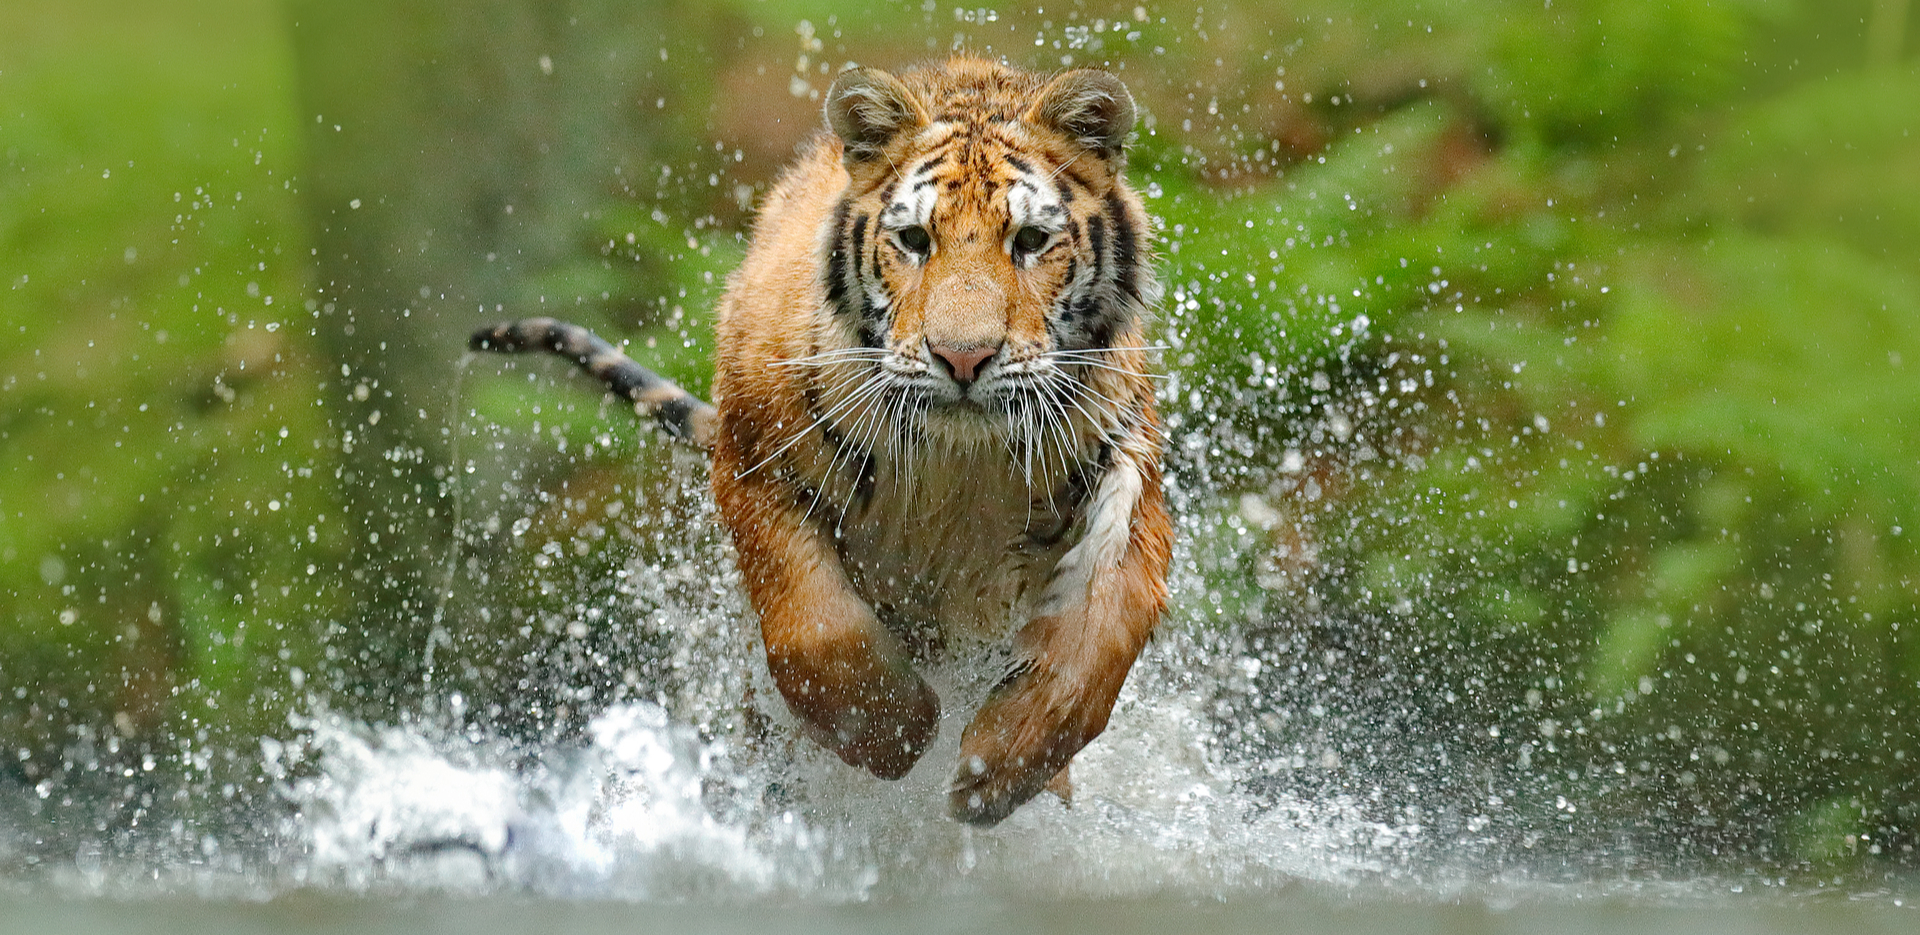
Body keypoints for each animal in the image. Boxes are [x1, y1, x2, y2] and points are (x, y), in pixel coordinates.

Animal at [473, 56, 1171, 827]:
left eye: (1030, 242)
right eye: (915, 240)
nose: (963, 359)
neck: (959, 464)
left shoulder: (1130, 475)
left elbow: (1105, 631)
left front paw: (999, 766)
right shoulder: (754, 466)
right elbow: (815, 626)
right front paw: (895, 733)